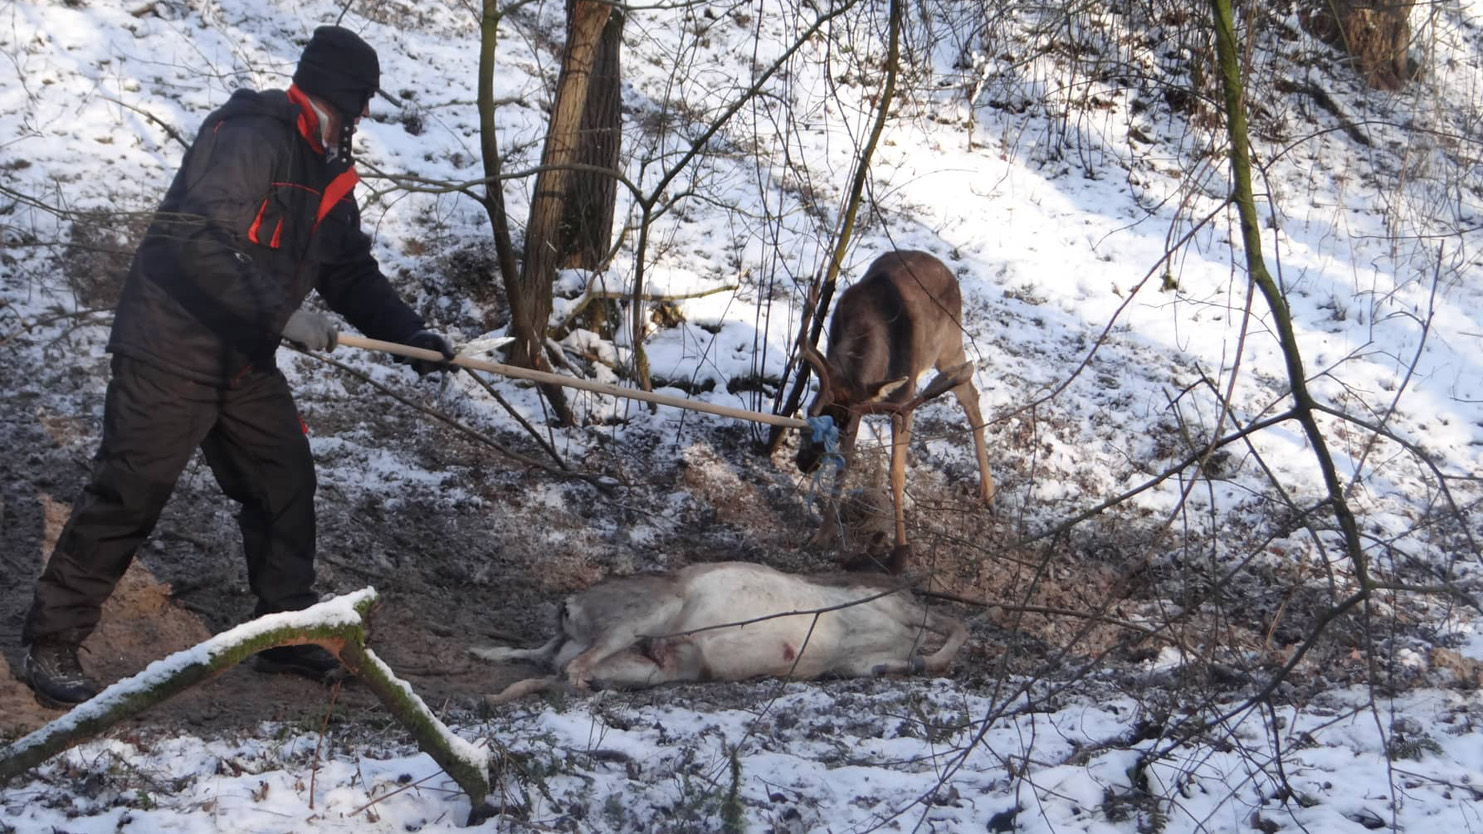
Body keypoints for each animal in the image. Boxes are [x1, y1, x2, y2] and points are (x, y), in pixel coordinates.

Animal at [468, 557, 966, 700]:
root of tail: (569, 608)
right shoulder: (888, 602)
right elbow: (957, 628)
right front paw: (927, 662)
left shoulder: (863, 657)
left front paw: (909, 666)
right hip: (647, 613)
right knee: (571, 668)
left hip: (654, 668)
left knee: (551, 667)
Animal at [794, 249, 990, 566]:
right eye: (809, 412)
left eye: (834, 430)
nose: (804, 462)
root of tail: (945, 268)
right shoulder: (858, 405)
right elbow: (845, 466)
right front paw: (822, 535)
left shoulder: (902, 404)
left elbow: (896, 474)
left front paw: (900, 548)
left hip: (949, 346)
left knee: (971, 394)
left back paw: (989, 494)